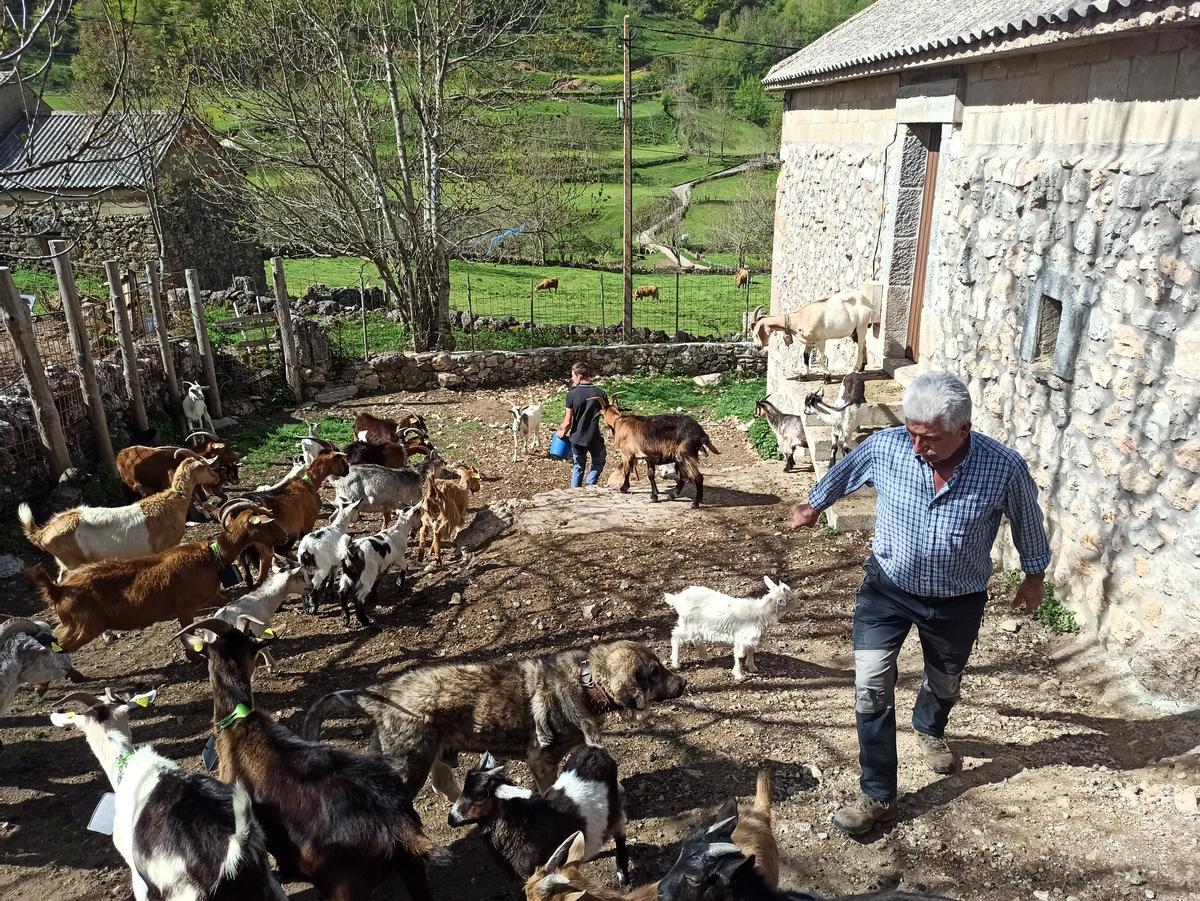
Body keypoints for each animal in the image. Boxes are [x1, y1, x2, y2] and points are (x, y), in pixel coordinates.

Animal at [26, 511, 285, 652]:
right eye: (269, 523)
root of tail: (58, 590)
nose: (284, 537)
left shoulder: (211, 596)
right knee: (59, 643)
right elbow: (188, 631)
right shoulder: (185, 606)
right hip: (82, 626)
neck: (211, 556)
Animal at [448, 748, 628, 887]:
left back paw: (622, 874)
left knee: (620, 831)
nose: (451, 819)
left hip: (613, 808)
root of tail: (596, 751)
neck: (523, 827)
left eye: (479, 797)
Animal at [667, 580, 796, 681]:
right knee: (676, 637)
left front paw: (752, 668)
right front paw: (739, 675)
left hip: (695, 626)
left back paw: (706, 657)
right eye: (790, 599)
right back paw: (676, 663)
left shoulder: (749, 639)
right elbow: (740, 656)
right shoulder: (742, 638)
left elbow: (751, 652)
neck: (759, 612)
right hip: (687, 624)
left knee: (695, 639)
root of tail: (677, 599)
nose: (799, 604)